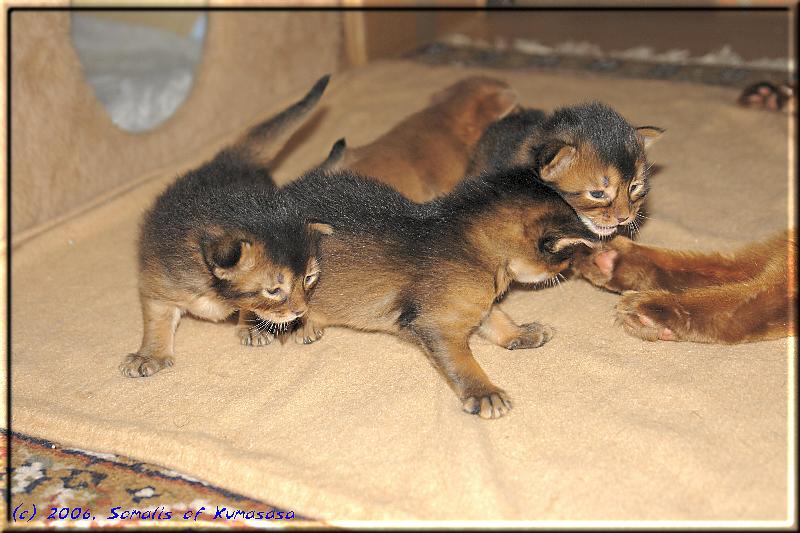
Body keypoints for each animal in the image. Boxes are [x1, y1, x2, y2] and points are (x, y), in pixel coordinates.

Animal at [119, 76, 332, 378]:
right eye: (273, 291)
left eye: (309, 279)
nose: (301, 312)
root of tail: (228, 161)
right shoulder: (158, 280)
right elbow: (156, 320)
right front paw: (150, 354)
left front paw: (251, 325)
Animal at [278, 164, 596, 418]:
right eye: (565, 257)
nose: (568, 270)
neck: (474, 246)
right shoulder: (436, 324)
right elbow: (462, 362)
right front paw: (484, 393)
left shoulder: (476, 302)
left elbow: (497, 319)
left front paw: (522, 333)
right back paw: (301, 325)